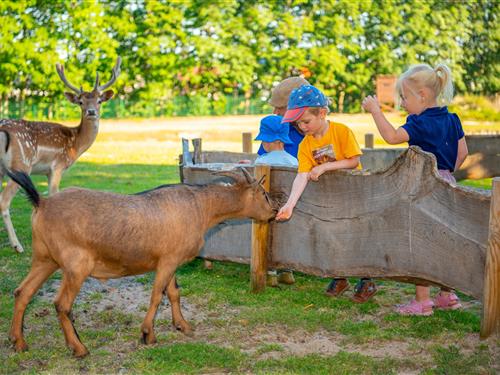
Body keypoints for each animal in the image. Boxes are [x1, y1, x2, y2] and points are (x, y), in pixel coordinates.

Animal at [0, 57, 121, 254]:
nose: (91, 112)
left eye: (99, 101)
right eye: (80, 102)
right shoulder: (57, 166)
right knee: (3, 201)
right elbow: (53, 194)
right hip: (20, 165)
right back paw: (17, 246)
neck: (75, 145)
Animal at [7, 170, 276, 358]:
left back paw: (18, 342)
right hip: (76, 266)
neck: (201, 207)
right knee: (61, 304)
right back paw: (79, 348)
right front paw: (148, 334)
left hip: (45, 259)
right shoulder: (168, 260)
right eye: (264, 194)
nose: (274, 212)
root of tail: (42, 203)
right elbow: (157, 295)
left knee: (23, 292)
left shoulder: (171, 261)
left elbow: (174, 293)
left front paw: (183, 326)